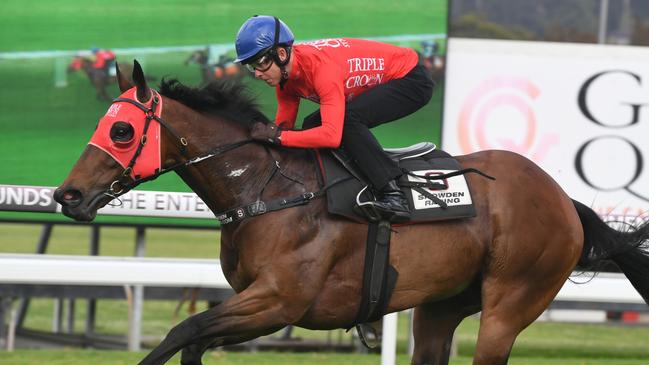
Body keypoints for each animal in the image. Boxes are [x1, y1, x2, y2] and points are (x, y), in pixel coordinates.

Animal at [55, 61, 648, 362]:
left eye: (121, 129)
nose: (68, 196)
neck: (266, 191)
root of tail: (561, 198)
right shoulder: (253, 307)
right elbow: (194, 340)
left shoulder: (279, 301)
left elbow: (183, 332)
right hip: (441, 308)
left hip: (509, 305)